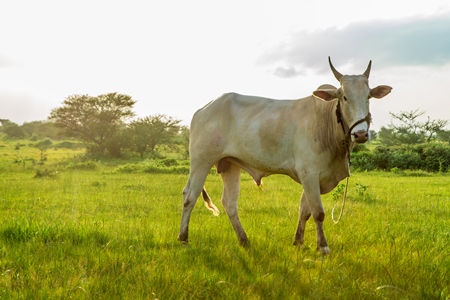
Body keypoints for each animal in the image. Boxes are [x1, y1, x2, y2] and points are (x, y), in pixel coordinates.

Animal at [178, 56, 392, 253]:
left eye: (368, 97)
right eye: (344, 97)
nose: (361, 134)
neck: (327, 121)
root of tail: (203, 109)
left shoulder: (313, 177)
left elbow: (304, 210)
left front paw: (298, 242)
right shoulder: (309, 173)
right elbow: (318, 212)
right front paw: (323, 247)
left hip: (230, 165)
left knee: (229, 203)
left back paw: (244, 240)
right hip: (201, 161)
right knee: (190, 196)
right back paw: (183, 238)